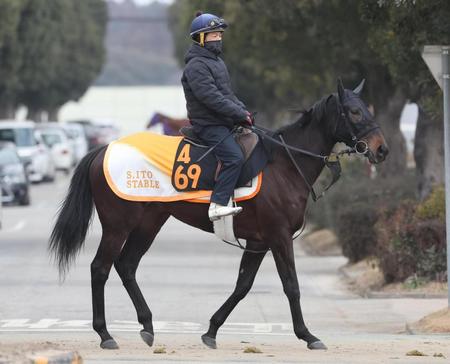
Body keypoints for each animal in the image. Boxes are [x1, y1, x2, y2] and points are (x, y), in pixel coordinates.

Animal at [48, 79, 386, 350]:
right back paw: (105, 334)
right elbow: (291, 285)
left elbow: (243, 285)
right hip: (118, 225)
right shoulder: (278, 237)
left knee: (126, 265)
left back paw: (147, 325)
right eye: (354, 112)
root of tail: (103, 150)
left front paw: (211, 330)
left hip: (149, 222)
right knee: (100, 268)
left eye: (366, 109)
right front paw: (308, 335)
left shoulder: (258, 241)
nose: (381, 149)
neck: (283, 163)